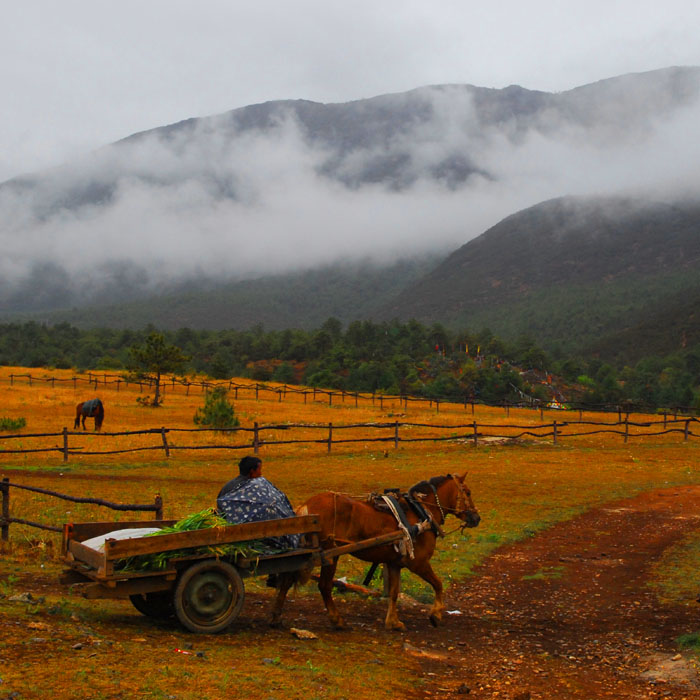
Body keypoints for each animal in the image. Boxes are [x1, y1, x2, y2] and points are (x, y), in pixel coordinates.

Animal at [270, 474, 478, 632]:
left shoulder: (394, 564)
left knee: (287, 581)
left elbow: (394, 593)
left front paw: (393, 622)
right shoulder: (418, 563)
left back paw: (276, 617)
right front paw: (436, 615)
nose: (477, 518)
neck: (421, 513)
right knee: (324, 586)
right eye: (467, 492)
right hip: (330, 554)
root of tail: (307, 506)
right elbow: (438, 584)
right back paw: (337, 620)